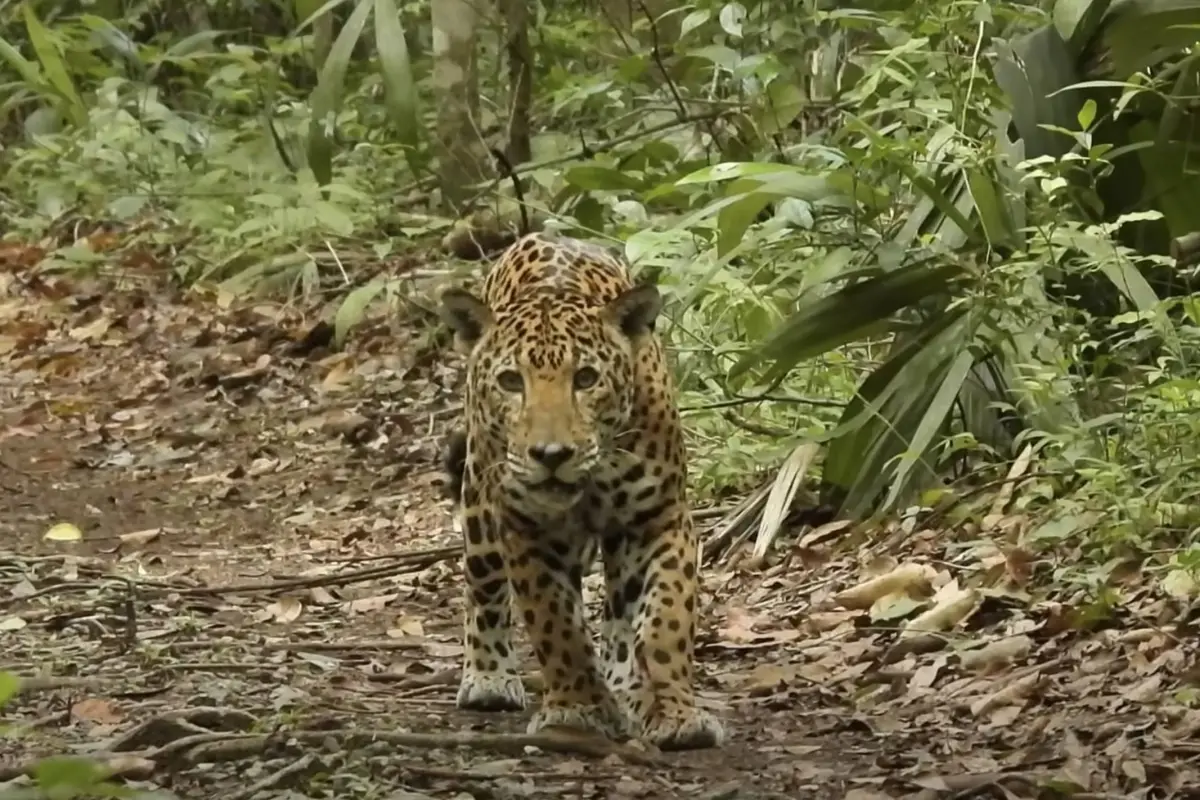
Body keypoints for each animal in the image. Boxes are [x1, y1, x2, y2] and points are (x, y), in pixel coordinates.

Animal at [437, 232, 725, 751]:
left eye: (586, 378)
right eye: (511, 382)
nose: (551, 454)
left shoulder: (660, 517)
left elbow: (666, 622)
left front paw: (676, 713)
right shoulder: (527, 529)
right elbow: (555, 625)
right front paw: (577, 711)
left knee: (620, 610)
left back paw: (625, 680)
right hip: (479, 506)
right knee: (484, 588)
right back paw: (490, 678)